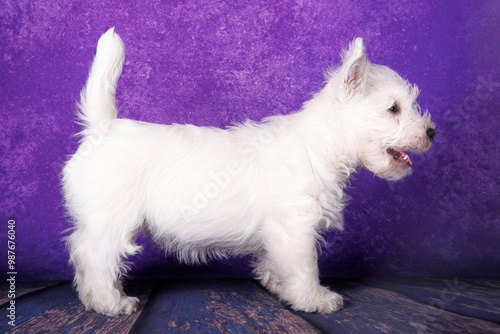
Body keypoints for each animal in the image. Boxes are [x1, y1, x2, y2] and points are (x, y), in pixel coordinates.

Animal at [62, 28, 436, 316]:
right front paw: (314, 299)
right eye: (393, 109)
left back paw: (91, 299)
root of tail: (103, 127)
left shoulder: (278, 232)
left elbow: (274, 262)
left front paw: (279, 287)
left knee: (81, 251)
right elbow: (305, 267)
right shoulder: (295, 228)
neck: (319, 145)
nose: (431, 133)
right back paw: (111, 303)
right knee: (95, 256)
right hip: (112, 221)